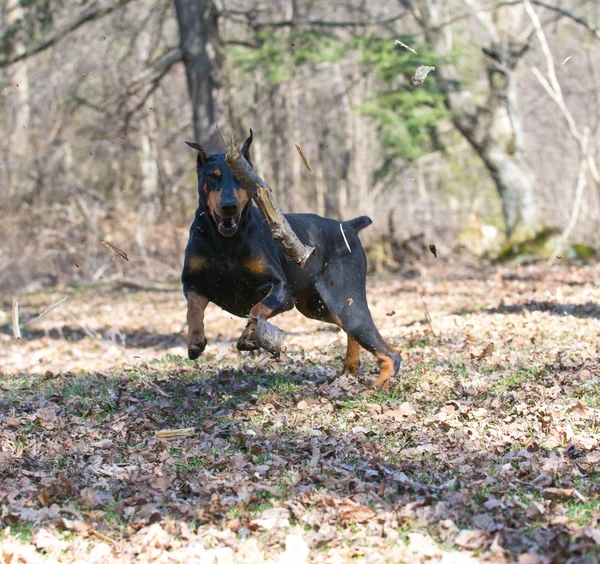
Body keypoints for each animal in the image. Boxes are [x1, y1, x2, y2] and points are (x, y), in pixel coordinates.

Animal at [180, 131, 400, 390]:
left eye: (240, 178)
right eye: (212, 177)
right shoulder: (193, 284)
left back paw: (378, 386)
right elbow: (193, 310)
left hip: (345, 301)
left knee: (390, 352)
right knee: (351, 332)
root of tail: (348, 225)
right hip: (317, 307)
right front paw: (195, 341)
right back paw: (349, 370)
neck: (226, 242)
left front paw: (249, 338)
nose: (229, 207)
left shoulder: (281, 291)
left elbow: (257, 308)